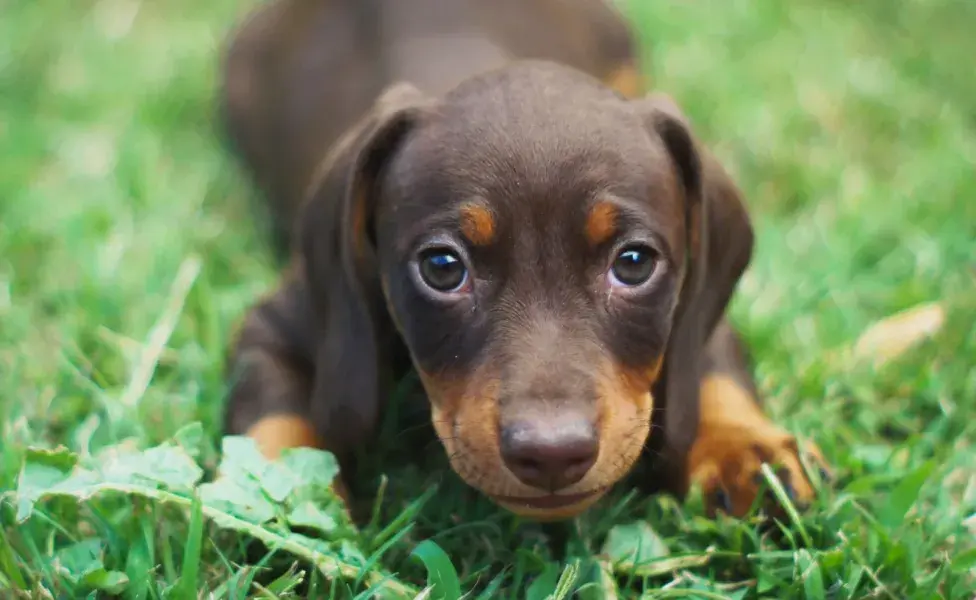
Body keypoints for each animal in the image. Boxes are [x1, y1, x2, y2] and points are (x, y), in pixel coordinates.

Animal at [217, 0, 828, 520]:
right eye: (443, 268)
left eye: (634, 262)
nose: (552, 454)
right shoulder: (277, 324)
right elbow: (271, 419)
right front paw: (271, 499)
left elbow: (712, 363)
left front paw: (743, 449)